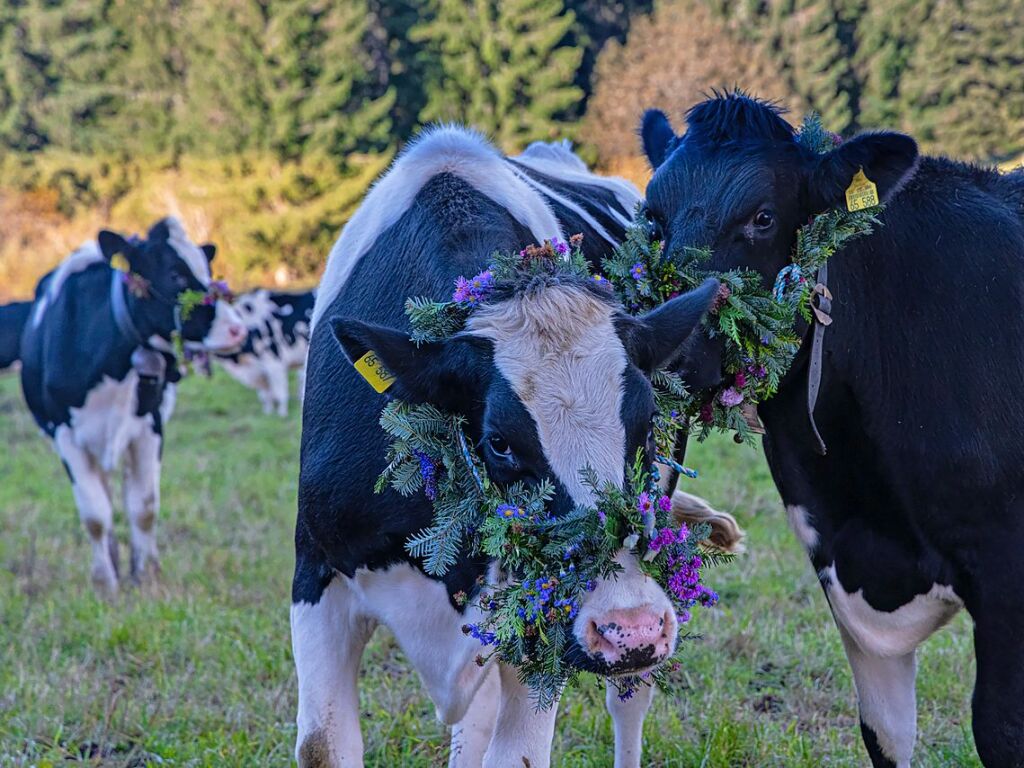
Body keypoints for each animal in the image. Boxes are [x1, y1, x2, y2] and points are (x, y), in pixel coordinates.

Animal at [19, 219, 245, 598]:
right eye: (175, 274)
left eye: (208, 270)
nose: (237, 329)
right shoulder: (65, 435)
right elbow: (95, 515)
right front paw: (105, 584)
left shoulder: (149, 427)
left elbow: (144, 507)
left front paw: (147, 575)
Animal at [214, 286, 313, 415]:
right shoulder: (259, 372)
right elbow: (265, 395)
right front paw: (268, 412)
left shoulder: (275, 364)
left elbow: (280, 393)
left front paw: (282, 413)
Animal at [292, 126, 733, 768]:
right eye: (498, 443)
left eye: (648, 425)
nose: (630, 629)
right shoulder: (317, 572)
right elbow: (324, 744)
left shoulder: (541, 621)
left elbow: (519, 753)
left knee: (628, 698)